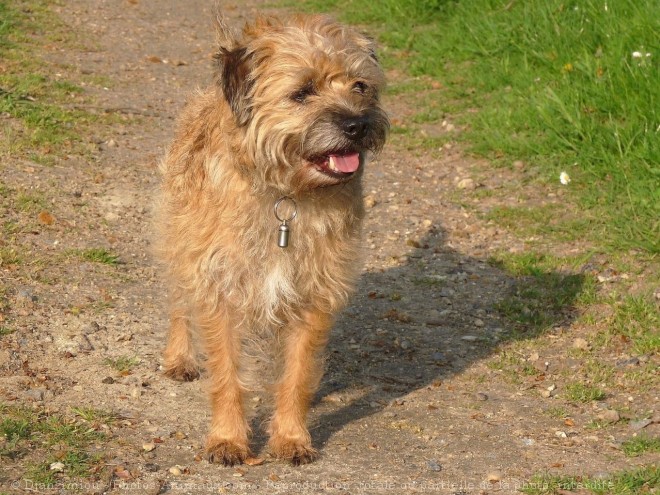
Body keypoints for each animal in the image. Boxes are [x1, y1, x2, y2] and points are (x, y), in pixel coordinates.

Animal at [157, 13, 390, 466]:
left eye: (360, 86)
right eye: (302, 92)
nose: (357, 124)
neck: (288, 194)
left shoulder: (315, 294)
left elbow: (296, 375)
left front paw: (291, 438)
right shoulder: (220, 286)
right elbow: (227, 374)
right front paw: (228, 439)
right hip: (180, 240)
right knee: (179, 302)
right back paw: (179, 357)